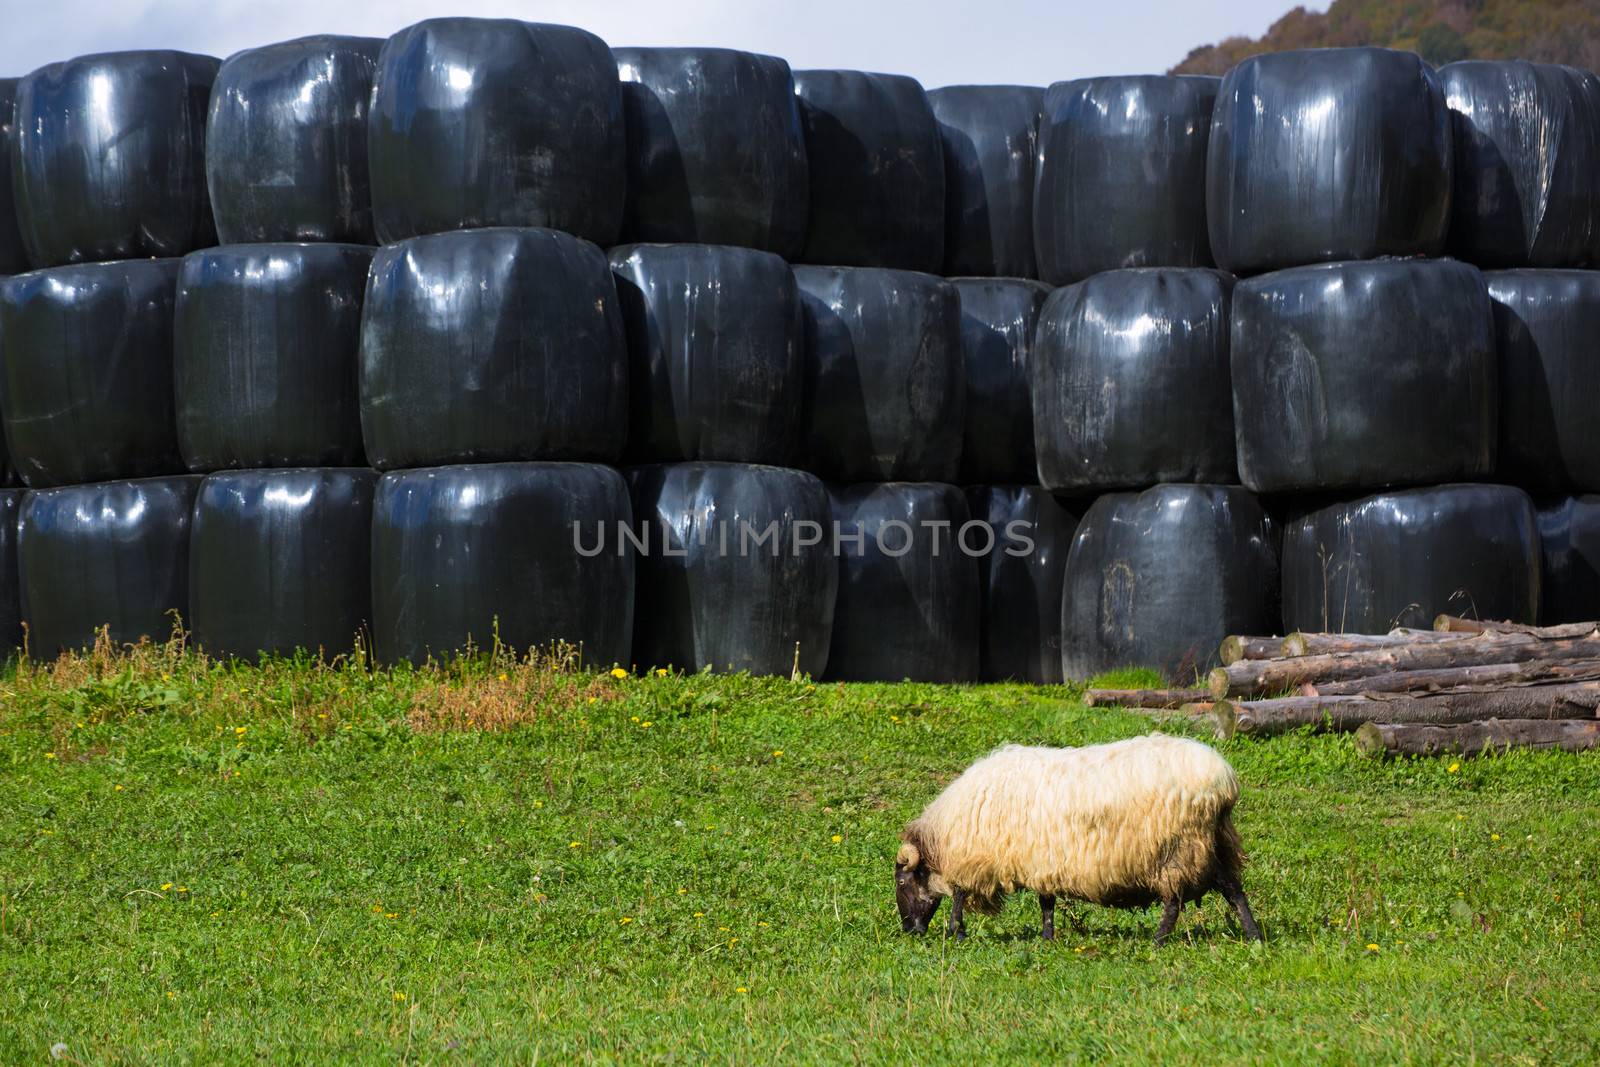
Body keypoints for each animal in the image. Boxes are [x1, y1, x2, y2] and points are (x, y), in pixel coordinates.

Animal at [896, 735, 1254, 940]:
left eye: (901, 882)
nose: (910, 931)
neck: (943, 837)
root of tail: (1225, 780)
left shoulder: (975, 859)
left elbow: (958, 894)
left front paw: (956, 932)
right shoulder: (1040, 861)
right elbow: (1047, 903)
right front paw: (1047, 937)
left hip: (1179, 848)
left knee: (1175, 901)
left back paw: (1159, 940)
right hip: (1214, 843)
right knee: (1233, 888)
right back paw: (1253, 935)